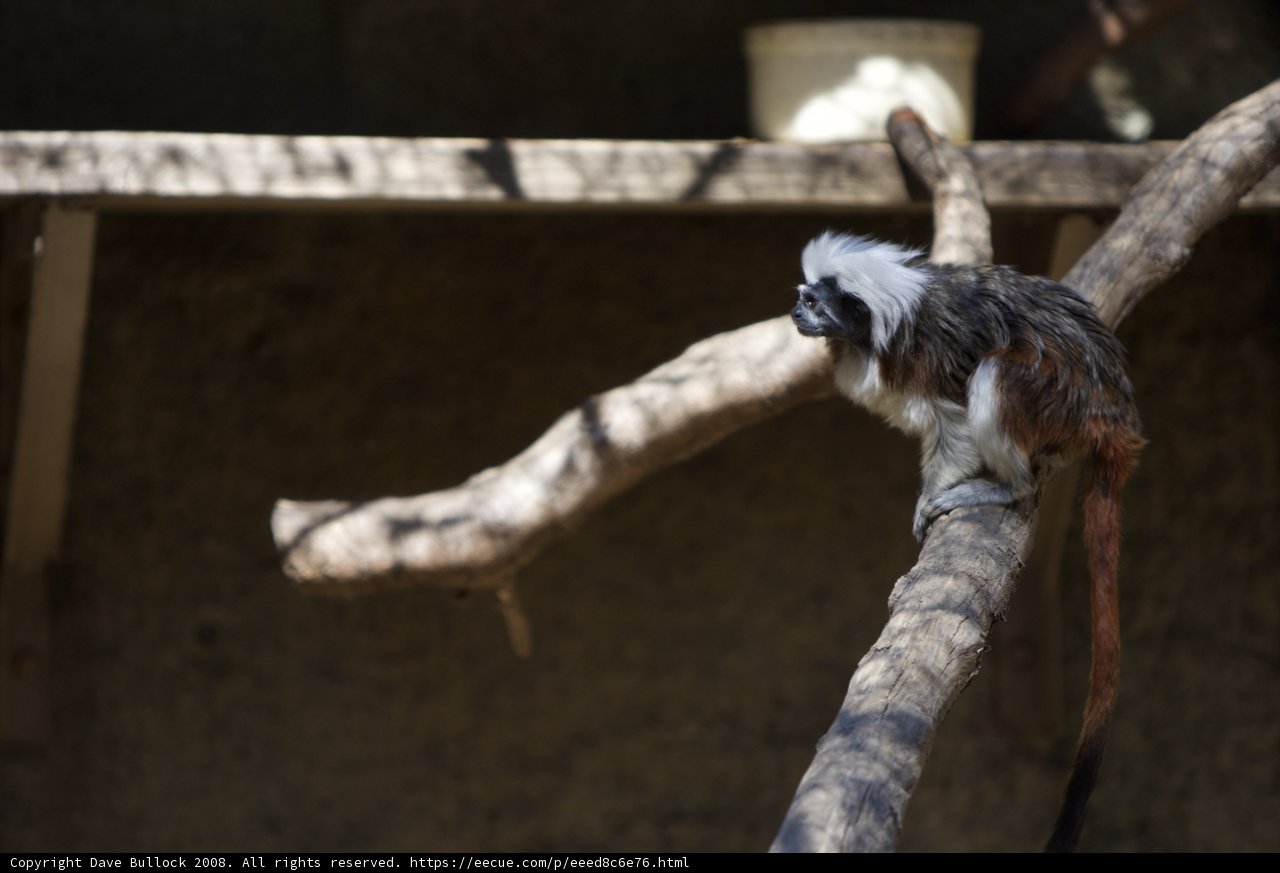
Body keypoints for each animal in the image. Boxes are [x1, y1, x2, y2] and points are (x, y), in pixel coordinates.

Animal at [790, 231, 1144, 852]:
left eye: (814, 303)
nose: (794, 313)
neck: (879, 328)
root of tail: (1111, 408)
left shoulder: (927, 364)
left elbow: (953, 425)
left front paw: (934, 494)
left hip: (1057, 395)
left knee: (996, 376)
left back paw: (1006, 486)